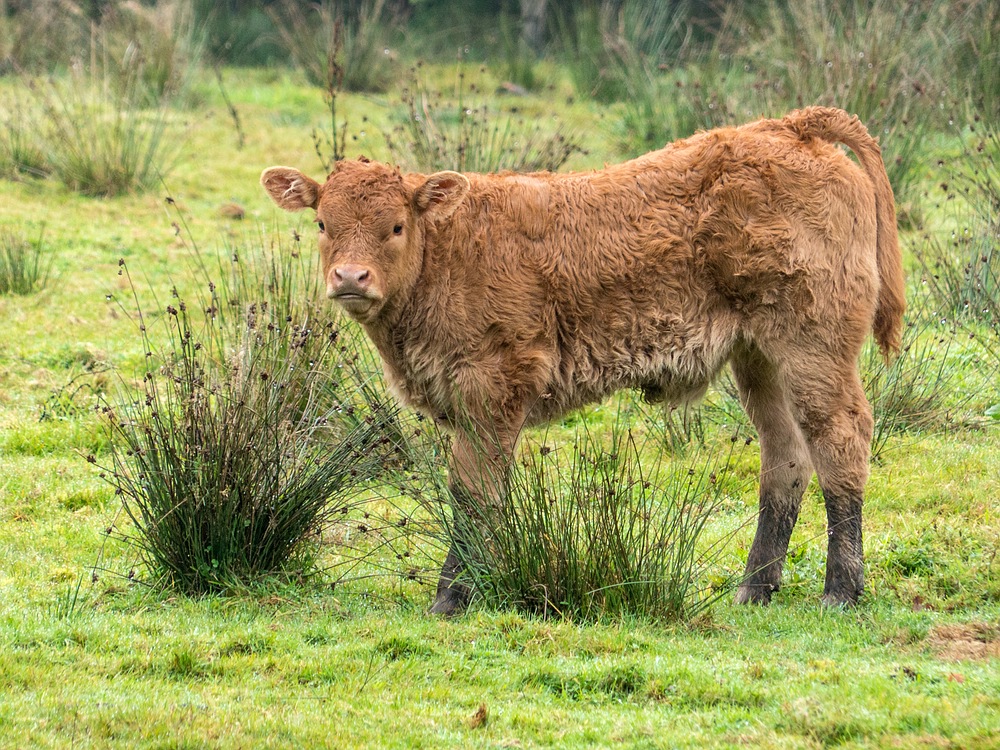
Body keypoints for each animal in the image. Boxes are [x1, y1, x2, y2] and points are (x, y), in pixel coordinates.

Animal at [264, 107, 908, 616]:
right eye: (322, 223)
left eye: (396, 226)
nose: (351, 277)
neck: (448, 254)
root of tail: (787, 127)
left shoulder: (492, 389)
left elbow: (474, 495)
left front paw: (453, 596)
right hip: (759, 356)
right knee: (786, 456)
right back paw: (755, 588)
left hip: (812, 346)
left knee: (841, 439)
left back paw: (841, 590)